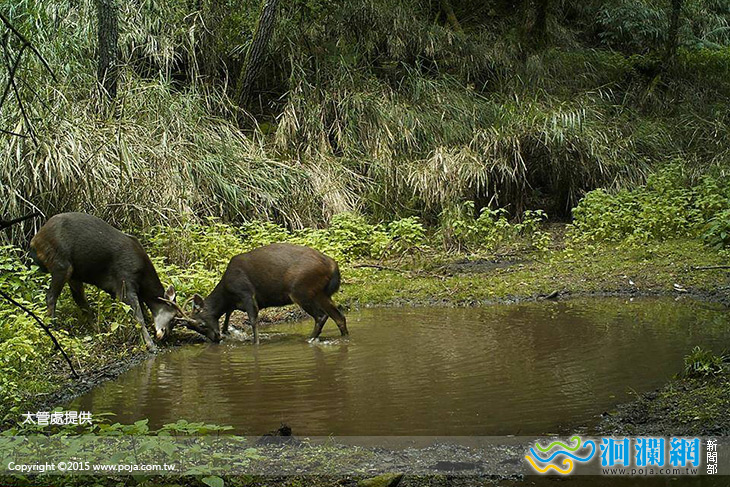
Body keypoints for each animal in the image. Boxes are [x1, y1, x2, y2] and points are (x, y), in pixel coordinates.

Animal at [29, 212, 200, 350]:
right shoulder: (124, 281)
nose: (164, 335)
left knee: (80, 300)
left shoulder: (115, 288)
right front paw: (150, 345)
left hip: (74, 273)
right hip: (61, 264)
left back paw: (96, 329)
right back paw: (54, 329)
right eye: (173, 319)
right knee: (51, 296)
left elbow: (142, 313)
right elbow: (139, 316)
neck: (142, 275)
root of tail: (34, 241)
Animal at [180, 243, 348, 344]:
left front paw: (255, 342)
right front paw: (228, 332)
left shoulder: (246, 293)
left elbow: (253, 321)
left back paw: (310, 339)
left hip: (301, 290)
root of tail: (333, 265)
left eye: (201, 323)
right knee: (339, 316)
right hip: (321, 293)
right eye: (191, 328)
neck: (227, 294)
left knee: (321, 316)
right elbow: (227, 317)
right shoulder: (236, 302)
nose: (215, 338)